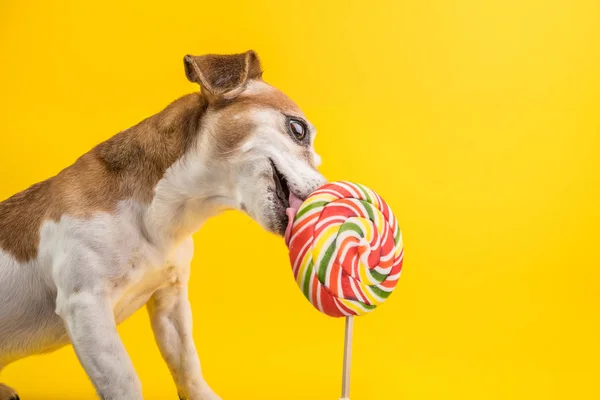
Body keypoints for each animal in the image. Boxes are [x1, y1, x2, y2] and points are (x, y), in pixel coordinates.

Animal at [0, 50, 326, 400]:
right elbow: (125, 381)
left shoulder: (170, 300)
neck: (159, 217)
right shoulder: (86, 305)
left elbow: (187, 364)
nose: (329, 193)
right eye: (297, 129)